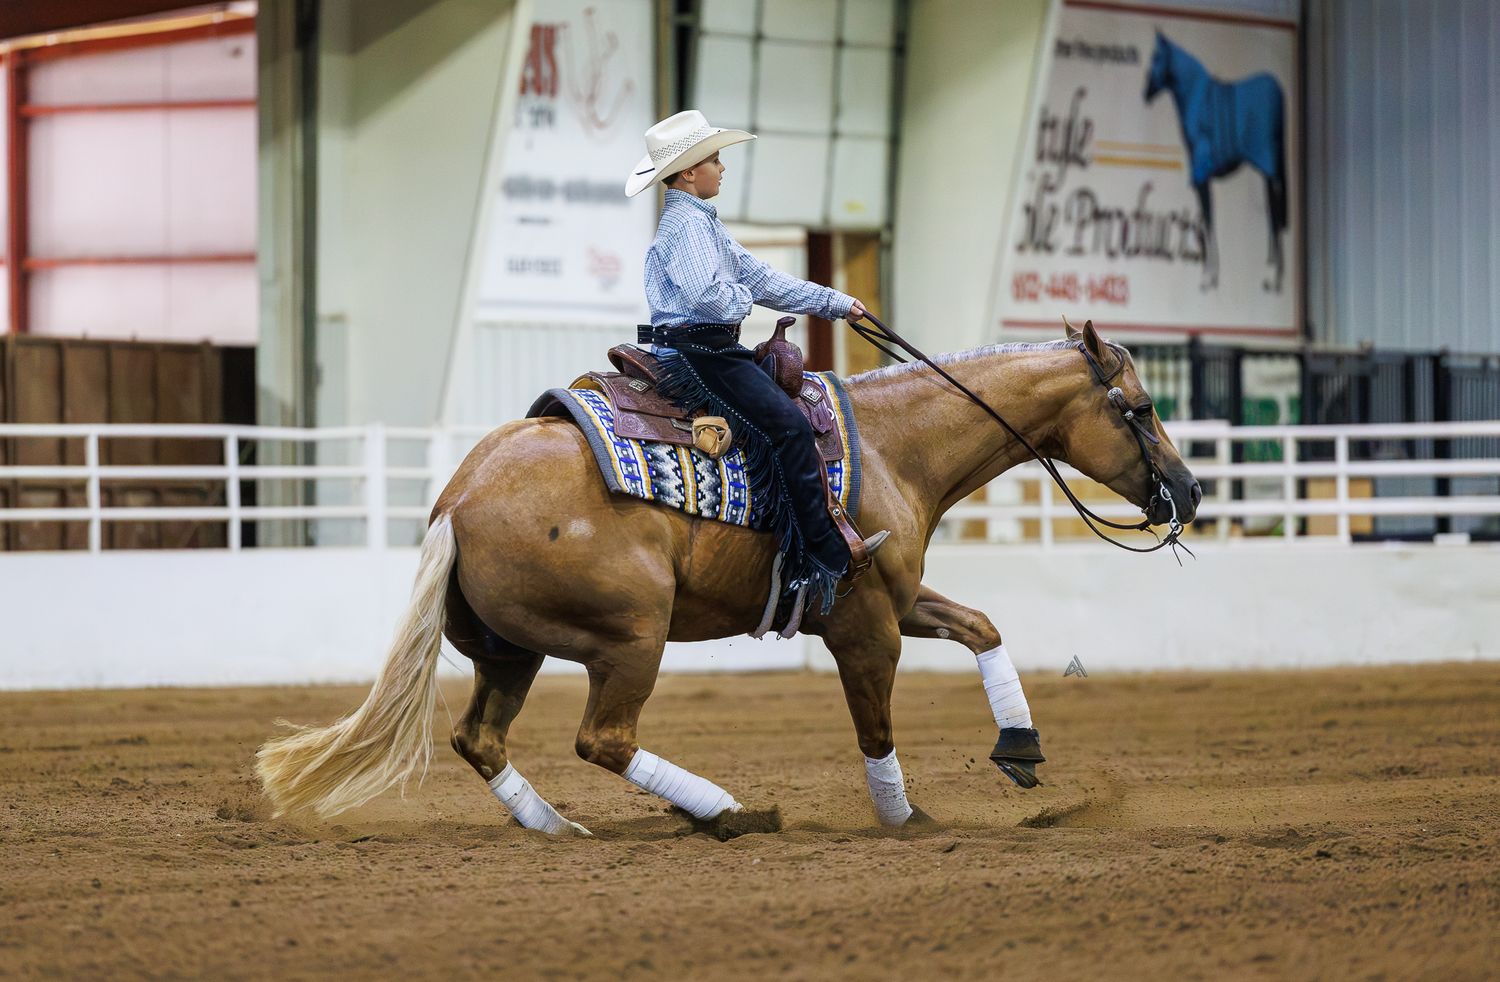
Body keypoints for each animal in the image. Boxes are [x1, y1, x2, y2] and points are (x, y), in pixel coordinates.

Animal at [256, 320, 1201, 834]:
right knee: (603, 739)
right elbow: (876, 731)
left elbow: (982, 626)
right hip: (631, 637)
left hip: (511, 652)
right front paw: (905, 821)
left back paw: (562, 827)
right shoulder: (865, 625)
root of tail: (456, 501)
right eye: (1140, 408)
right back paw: (724, 811)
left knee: (480, 740)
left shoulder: (892, 600)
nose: (1189, 491)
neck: (896, 445)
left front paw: (1021, 747)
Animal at [1144, 30, 1288, 293]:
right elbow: (1208, 217)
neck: (1198, 103)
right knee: (1272, 210)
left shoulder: (1202, 177)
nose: (1146, 93)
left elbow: (1208, 218)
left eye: (1157, 57)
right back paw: (1272, 269)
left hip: (1268, 166)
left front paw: (1208, 276)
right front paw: (1211, 275)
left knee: (1274, 211)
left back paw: (1273, 277)